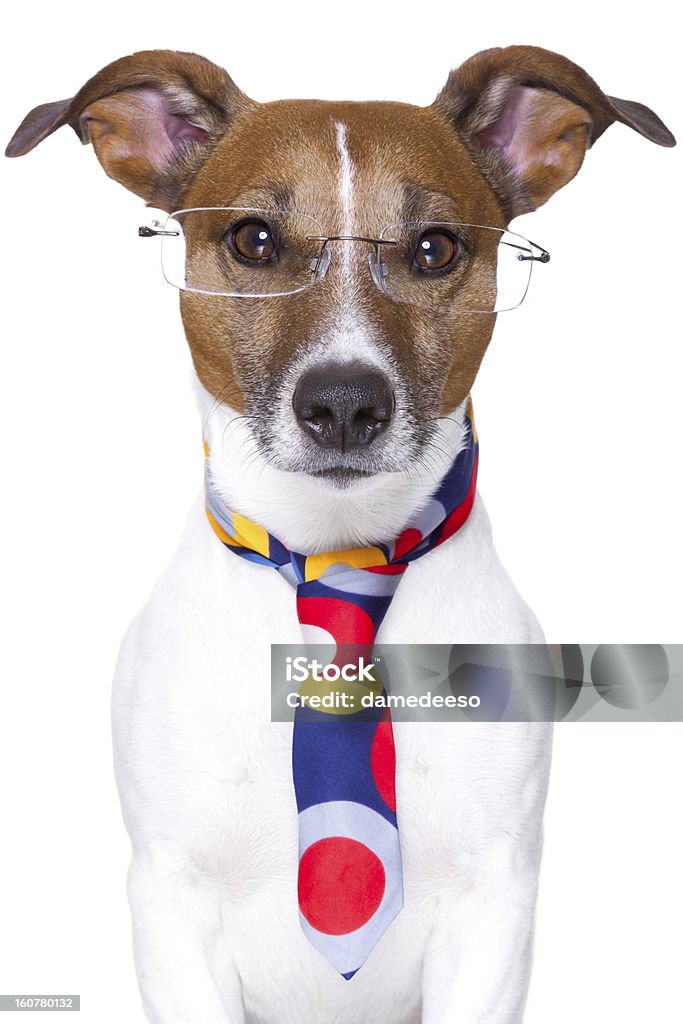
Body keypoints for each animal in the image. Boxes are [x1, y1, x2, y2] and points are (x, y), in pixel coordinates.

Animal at [7, 41, 675, 1024]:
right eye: (253, 240)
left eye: (434, 248)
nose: (345, 404)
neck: (338, 555)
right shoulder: (171, 902)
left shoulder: (493, 908)